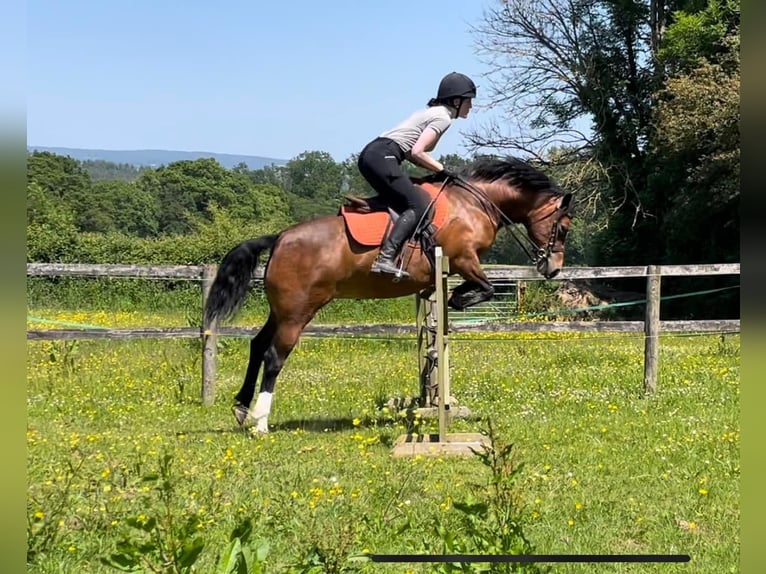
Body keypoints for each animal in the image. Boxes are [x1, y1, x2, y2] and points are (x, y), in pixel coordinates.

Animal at [204, 155, 576, 434]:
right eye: (564, 227)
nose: (553, 268)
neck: (474, 203)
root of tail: (280, 237)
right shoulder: (464, 259)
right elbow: (484, 288)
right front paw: (457, 300)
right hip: (298, 311)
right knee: (273, 357)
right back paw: (261, 422)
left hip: (281, 310)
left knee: (257, 345)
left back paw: (241, 408)